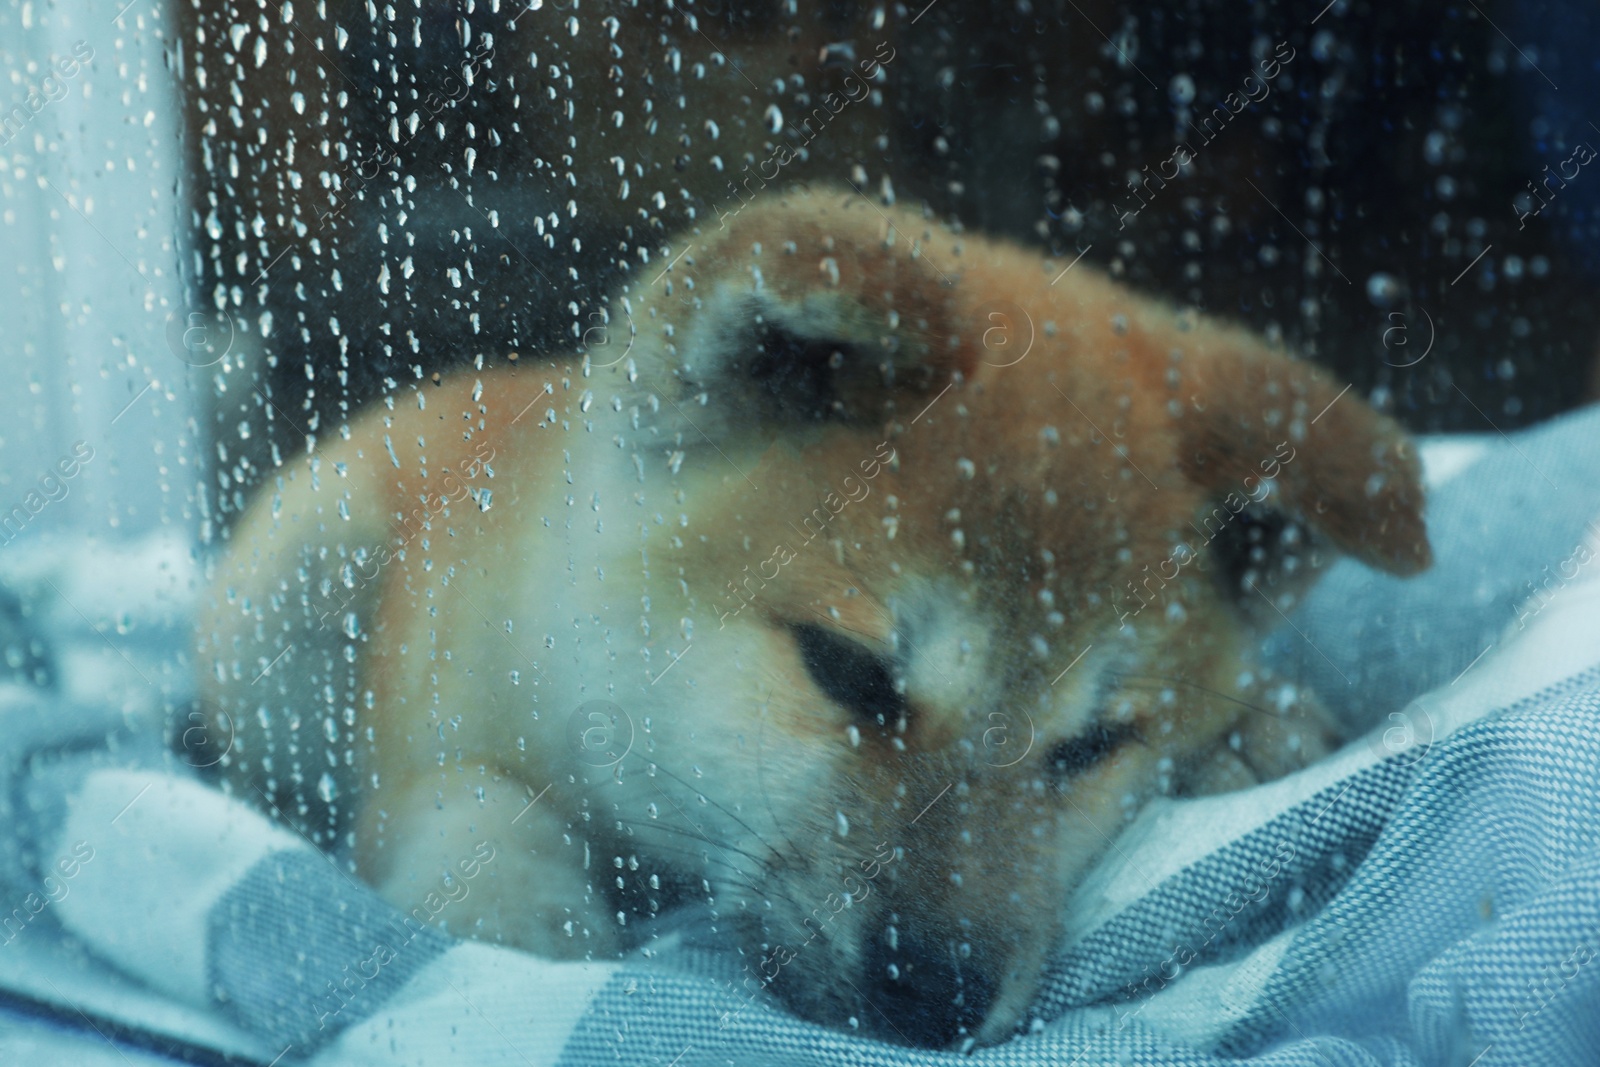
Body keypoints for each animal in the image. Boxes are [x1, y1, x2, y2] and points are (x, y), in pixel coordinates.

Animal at [193, 185, 1433, 1049]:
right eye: (848, 671)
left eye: (1094, 743)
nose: (935, 993)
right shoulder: (438, 721)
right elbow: (466, 798)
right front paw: (516, 908)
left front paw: (1255, 726)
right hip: (304, 578)